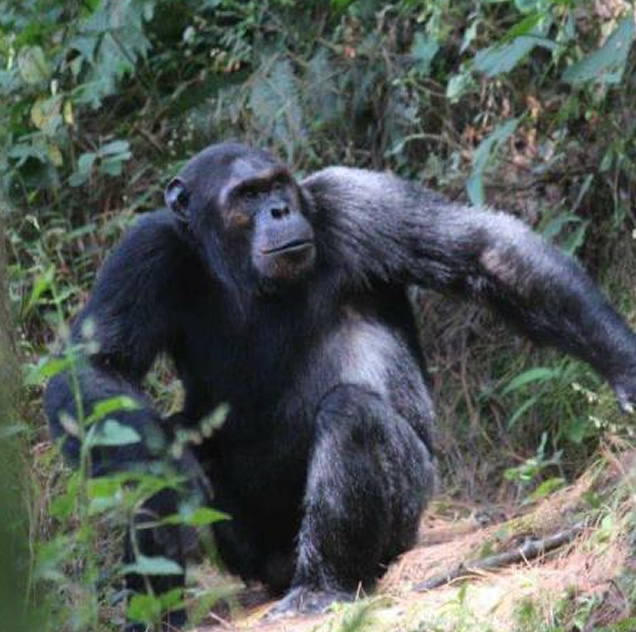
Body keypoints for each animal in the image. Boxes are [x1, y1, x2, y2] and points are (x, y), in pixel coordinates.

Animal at [46, 142, 636, 628]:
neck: (239, 270)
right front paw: (164, 466)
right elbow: (96, 367)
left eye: (276, 186)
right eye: (247, 196)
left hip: (407, 511)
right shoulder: (145, 253)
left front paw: (626, 367)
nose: (279, 210)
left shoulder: (357, 201)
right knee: (136, 453)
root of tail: (281, 568)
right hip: (247, 553)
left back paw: (320, 587)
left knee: (352, 414)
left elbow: (484, 253)